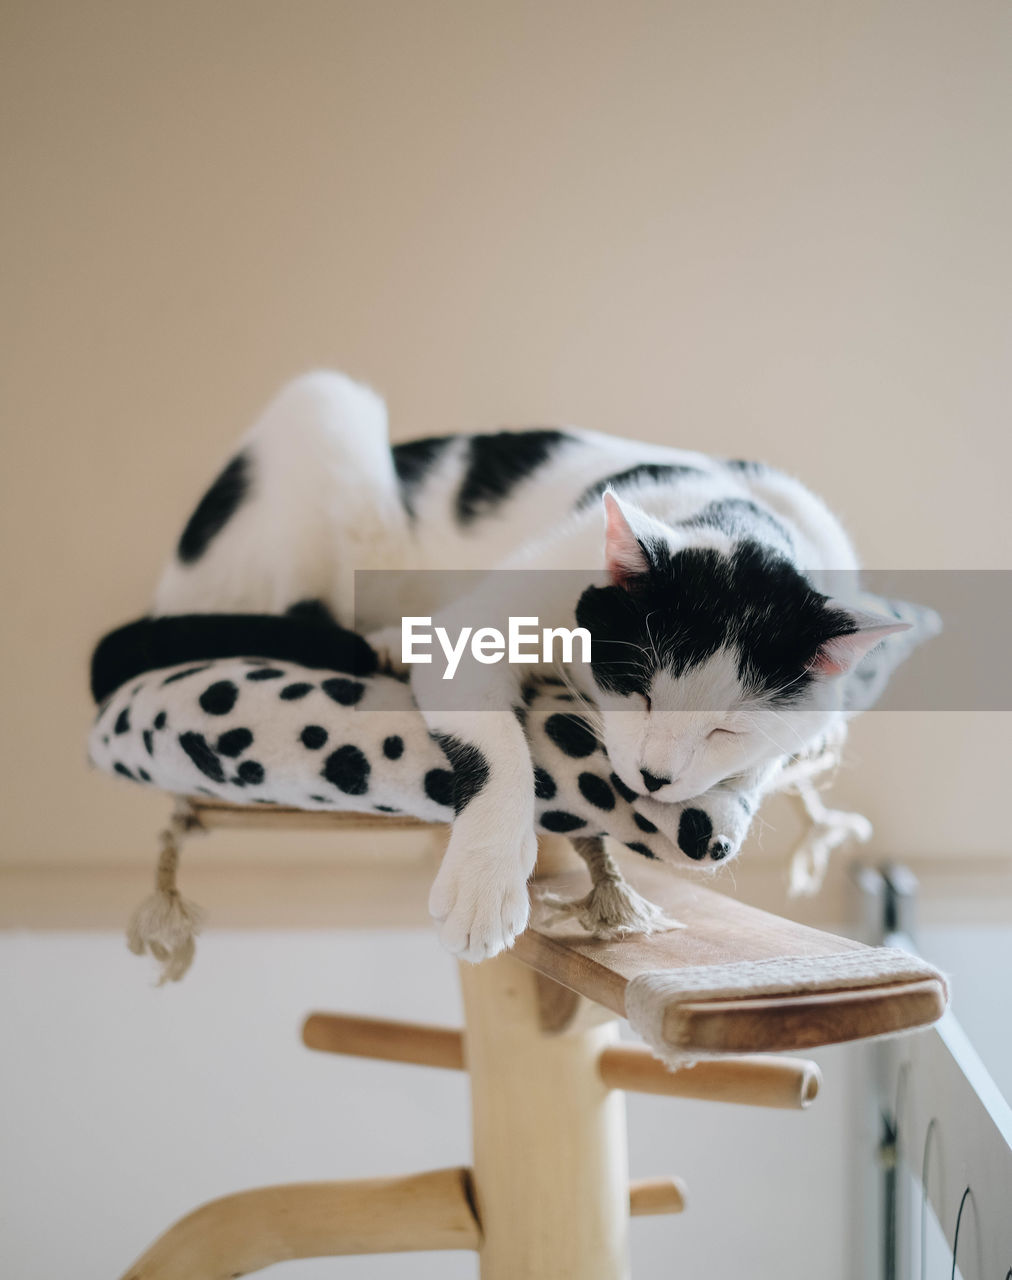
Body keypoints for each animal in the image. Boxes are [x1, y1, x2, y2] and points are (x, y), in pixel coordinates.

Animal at [156, 371, 910, 962]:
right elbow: (498, 747)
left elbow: (772, 760)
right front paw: (486, 880)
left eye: (728, 728)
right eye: (638, 690)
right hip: (326, 414)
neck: (743, 518)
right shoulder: (488, 621)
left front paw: (721, 805)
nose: (654, 776)